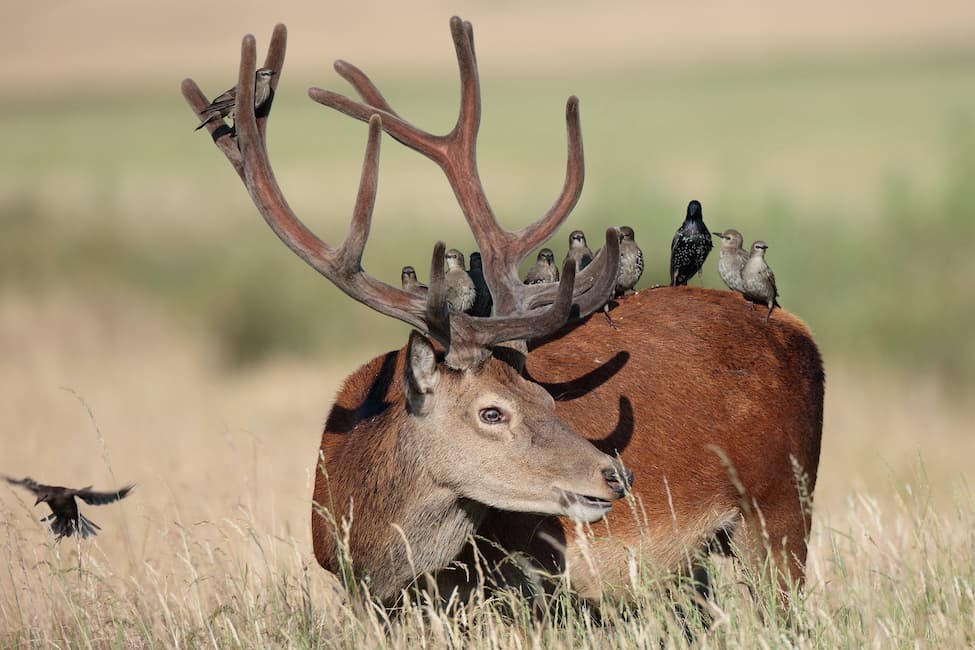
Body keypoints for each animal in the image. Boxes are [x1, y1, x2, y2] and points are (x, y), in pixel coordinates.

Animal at [181, 18, 824, 611]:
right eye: (493, 412)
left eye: (548, 399)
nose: (615, 474)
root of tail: (803, 335)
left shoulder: (524, 585)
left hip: (781, 507)